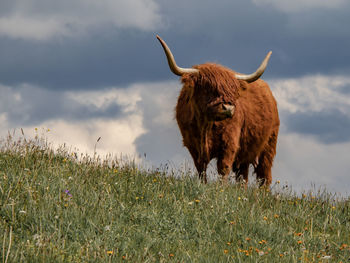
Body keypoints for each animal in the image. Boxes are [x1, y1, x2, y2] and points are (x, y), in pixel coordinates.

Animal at [157, 35, 280, 188]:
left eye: (233, 91)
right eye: (208, 87)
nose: (228, 108)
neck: (205, 125)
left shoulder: (229, 144)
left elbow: (223, 168)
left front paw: (221, 189)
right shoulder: (192, 145)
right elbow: (201, 169)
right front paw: (203, 186)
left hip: (269, 145)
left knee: (264, 176)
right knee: (243, 175)